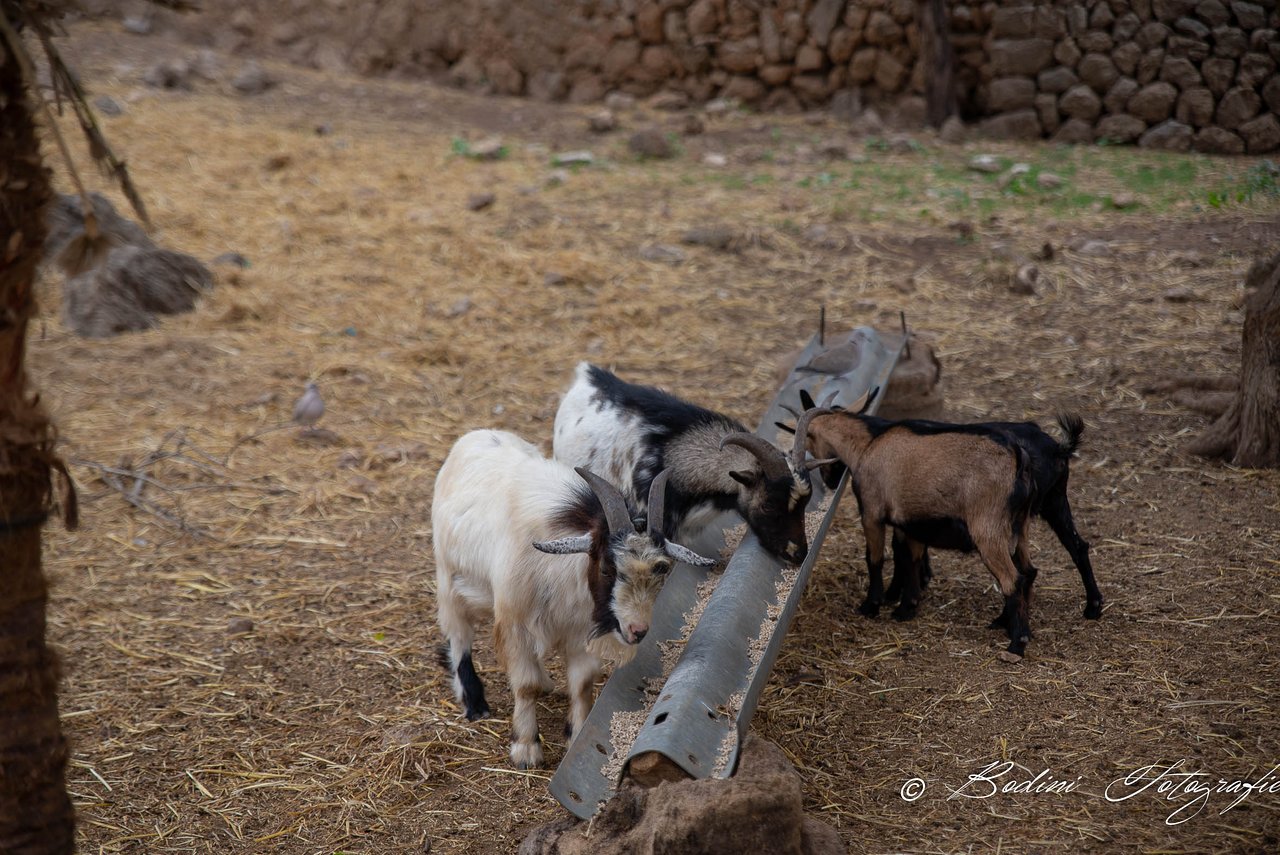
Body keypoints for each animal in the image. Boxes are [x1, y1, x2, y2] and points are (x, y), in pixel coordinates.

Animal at [435, 430, 716, 773]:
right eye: (607, 567)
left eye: (661, 569)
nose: (637, 630)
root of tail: (476, 435)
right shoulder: (515, 621)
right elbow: (524, 685)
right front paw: (526, 748)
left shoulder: (579, 627)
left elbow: (581, 683)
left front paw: (576, 738)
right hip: (449, 580)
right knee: (459, 636)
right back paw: (475, 703)